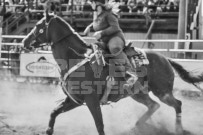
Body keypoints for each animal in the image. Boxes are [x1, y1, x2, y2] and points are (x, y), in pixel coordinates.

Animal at [22, 12, 203, 135]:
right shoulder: (74, 100)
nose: (24, 42)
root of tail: (165, 58)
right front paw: (48, 130)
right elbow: (54, 112)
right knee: (154, 105)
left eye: (38, 26)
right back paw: (136, 126)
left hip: (162, 91)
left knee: (177, 104)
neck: (75, 57)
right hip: (138, 93)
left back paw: (178, 129)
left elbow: (99, 124)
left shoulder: (91, 100)